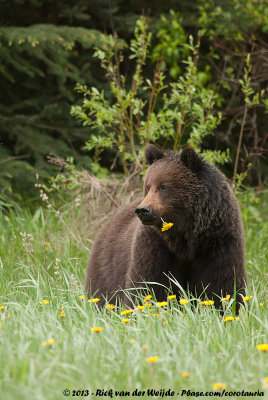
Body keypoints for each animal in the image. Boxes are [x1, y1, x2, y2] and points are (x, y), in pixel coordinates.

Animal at [85, 145, 246, 308]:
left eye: (164, 186)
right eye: (148, 186)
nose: (143, 210)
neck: (185, 236)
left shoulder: (217, 242)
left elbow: (221, 284)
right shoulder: (156, 245)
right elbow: (149, 284)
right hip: (108, 267)